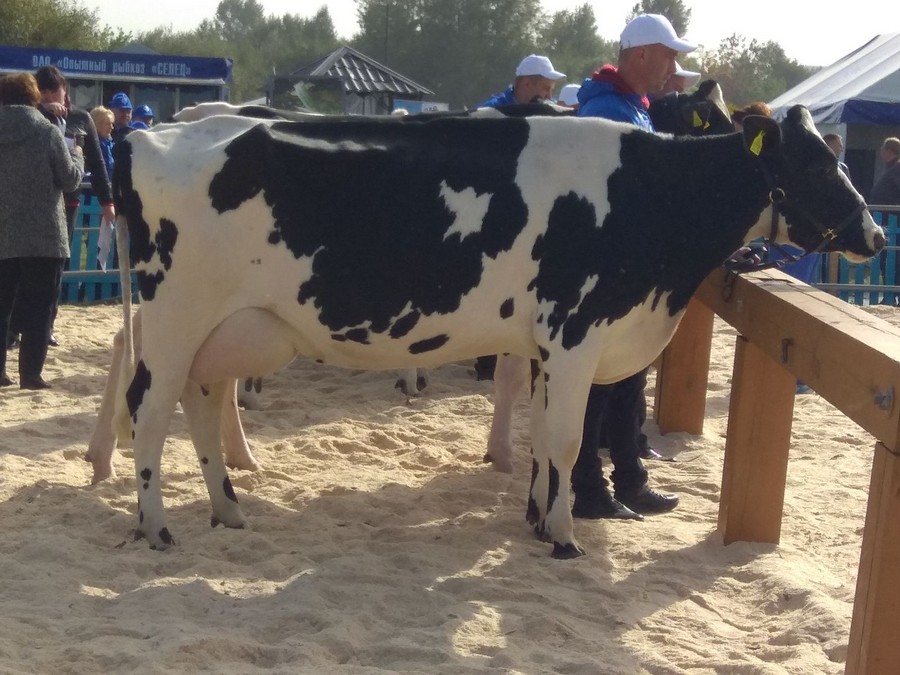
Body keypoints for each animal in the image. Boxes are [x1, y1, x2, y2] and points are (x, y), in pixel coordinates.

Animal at [110, 104, 882, 557]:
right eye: (819, 161)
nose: (874, 233)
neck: (648, 197)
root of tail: (151, 134)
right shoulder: (576, 333)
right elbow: (568, 439)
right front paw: (565, 535)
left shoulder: (545, 343)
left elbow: (542, 437)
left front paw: (538, 517)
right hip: (176, 317)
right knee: (148, 411)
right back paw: (155, 525)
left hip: (225, 331)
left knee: (203, 405)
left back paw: (227, 509)